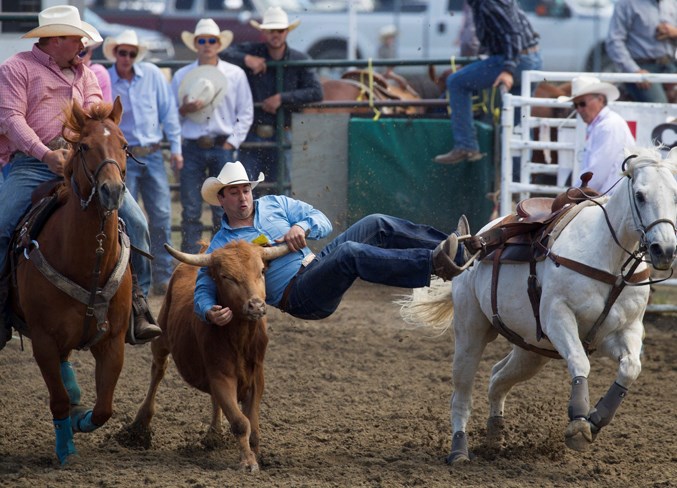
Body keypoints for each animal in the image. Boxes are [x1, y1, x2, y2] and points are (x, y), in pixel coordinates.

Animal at [8, 98, 131, 466]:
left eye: (124, 145)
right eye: (84, 146)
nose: (111, 191)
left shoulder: (113, 339)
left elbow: (104, 408)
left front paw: (81, 419)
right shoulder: (43, 340)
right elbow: (58, 399)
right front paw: (65, 450)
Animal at [398, 147, 672, 464]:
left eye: (675, 195)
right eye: (640, 195)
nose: (665, 250)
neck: (610, 260)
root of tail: (477, 240)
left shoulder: (624, 331)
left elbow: (630, 368)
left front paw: (596, 418)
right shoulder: (558, 317)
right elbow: (580, 361)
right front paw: (579, 423)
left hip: (532, 350)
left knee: (497, 378)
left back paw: (494, 437)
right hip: (470, 334)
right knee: (462, 395)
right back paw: (459, 450)